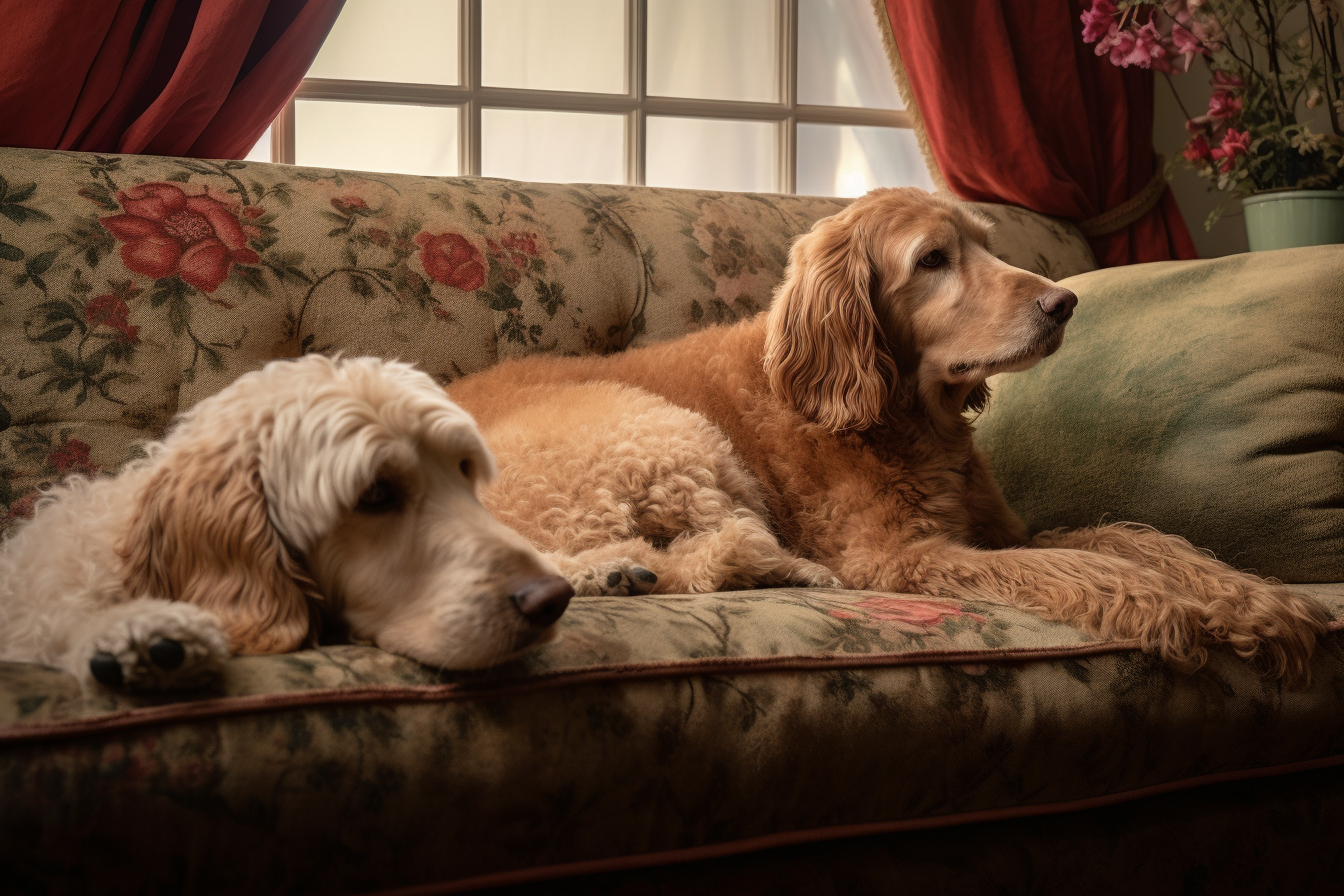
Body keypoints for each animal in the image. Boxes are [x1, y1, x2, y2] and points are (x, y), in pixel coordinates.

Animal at [448, 188, 1322, 679]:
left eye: (988, 246)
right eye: (933, 260)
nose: (1065, 302)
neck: (907, 418)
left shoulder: (1002, 531)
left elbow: (1126, 536)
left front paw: (1251, 599)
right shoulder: (904, 555)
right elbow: (1071, 565)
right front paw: (1167, 607)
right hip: (659, 433)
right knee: (699, 552)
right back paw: (752, 569)